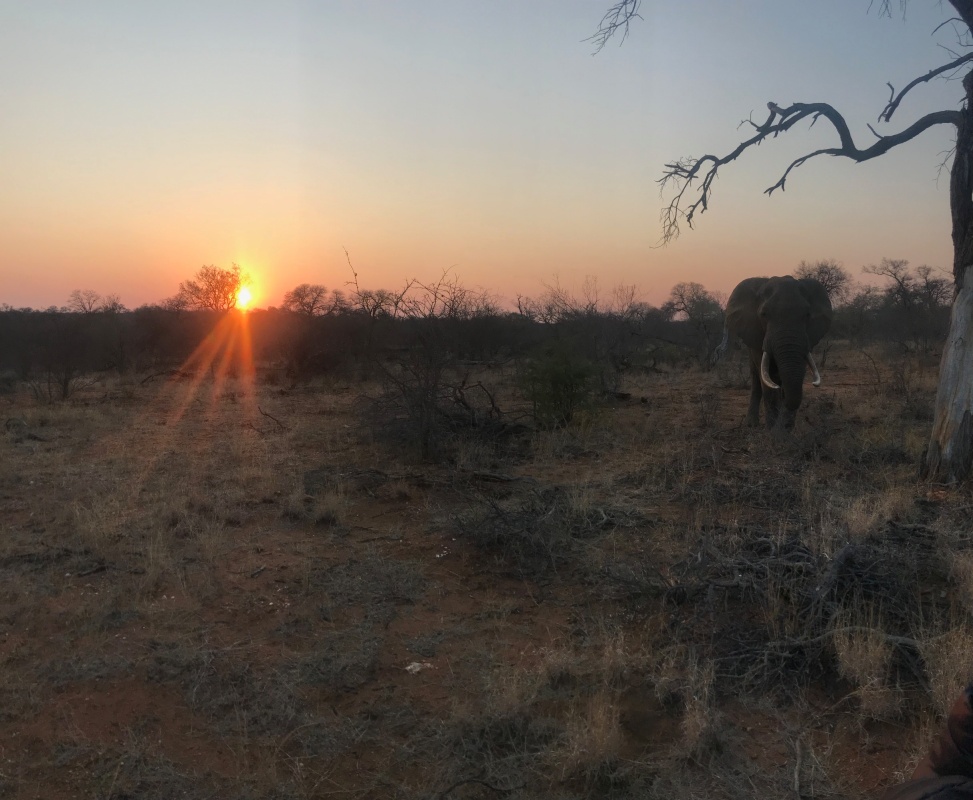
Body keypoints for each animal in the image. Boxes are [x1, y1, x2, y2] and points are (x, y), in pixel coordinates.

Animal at [716, 276, 832, 428]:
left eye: (807, 314)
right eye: (764, 314)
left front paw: (784, 431)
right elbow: (766, 378)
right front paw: (772, 430)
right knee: (756, 377)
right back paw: (751, 424)